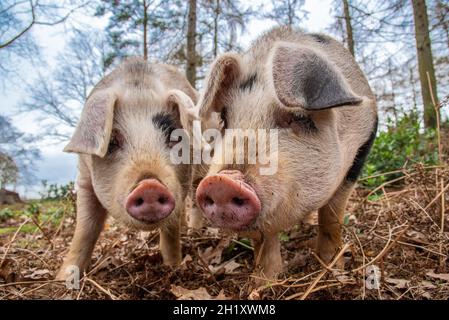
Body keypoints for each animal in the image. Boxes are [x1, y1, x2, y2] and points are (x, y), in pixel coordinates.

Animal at [55, 57, 199, 280]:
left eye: (174, 138)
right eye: (112, 141)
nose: (149, 186)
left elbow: (171, 231)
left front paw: (173, 267)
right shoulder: (84, 179)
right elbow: (86, 228)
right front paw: (62, 279)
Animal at [194, 26, 376, 280]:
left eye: (299, 116)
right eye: (224, 118)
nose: (223, 181)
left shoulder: (362, 149)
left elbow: (331, 217)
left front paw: (332, 269)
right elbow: (264, 238)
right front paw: (265, 281)